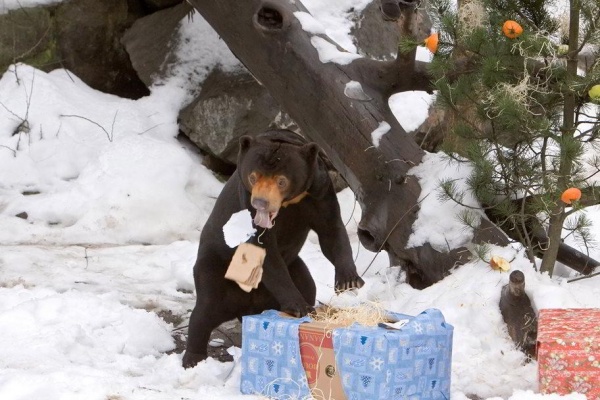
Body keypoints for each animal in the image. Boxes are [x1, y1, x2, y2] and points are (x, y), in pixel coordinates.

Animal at [180, 130, 364, 368]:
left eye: (281, 181)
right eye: (253, 177)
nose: (261, 202)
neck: (289, 202)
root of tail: (247, 307)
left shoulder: (319, 192)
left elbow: (331, 231)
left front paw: (348, 281)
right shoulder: (245, 203)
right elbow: (264, 250)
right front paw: (299, 306)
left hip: (294, 265)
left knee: (307, 283)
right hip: (214, 267)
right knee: (205, 310)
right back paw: (193, 359)